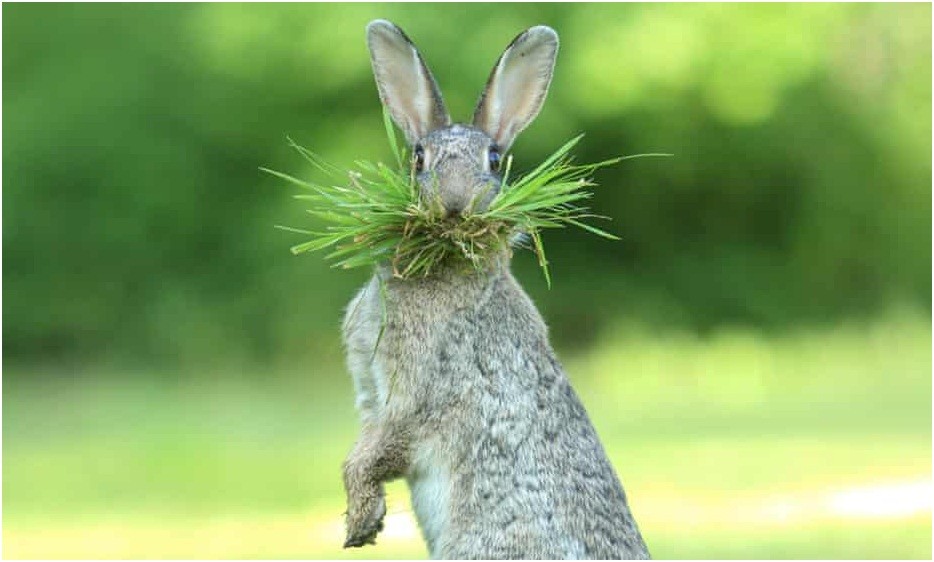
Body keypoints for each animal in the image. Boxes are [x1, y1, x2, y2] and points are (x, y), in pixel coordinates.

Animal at [340, 19, 656, 556]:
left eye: (492, 160)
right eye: (418, 158)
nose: (454, 202)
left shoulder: (413, 396)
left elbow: (378, 451)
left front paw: (360, 523)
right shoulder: (371, 396)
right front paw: (365, 522)